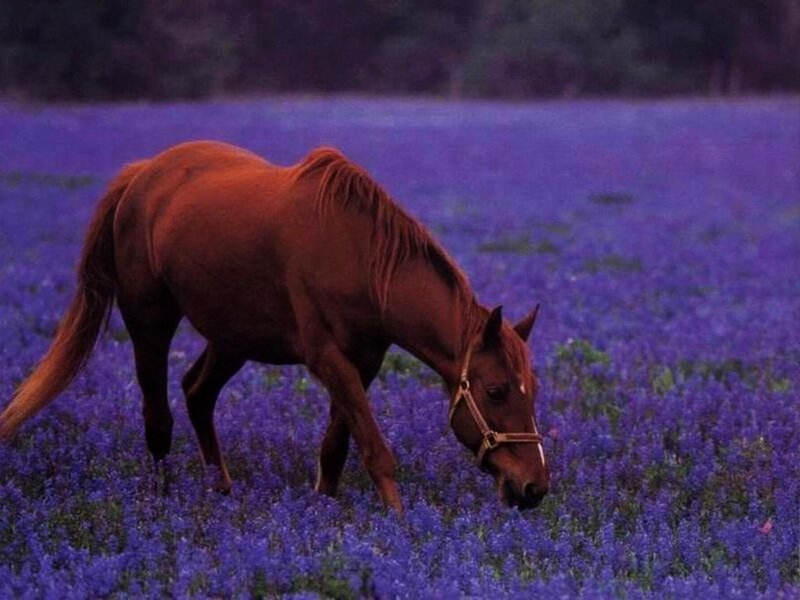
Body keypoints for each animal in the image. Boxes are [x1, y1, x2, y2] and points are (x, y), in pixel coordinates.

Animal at [0, 141, 550, 511]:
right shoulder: (326, 357)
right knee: (158, 415)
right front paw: (400, 527)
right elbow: (375, 448)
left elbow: (337, 445)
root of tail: (142, 173)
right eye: (496, 391)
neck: (361, 258)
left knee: (197, 393)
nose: (535, 487)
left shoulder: (364, 360)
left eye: (534, 389)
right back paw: (166, 502)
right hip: (149, 319)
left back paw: (221, 489)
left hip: (233, 336)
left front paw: (324, 508)